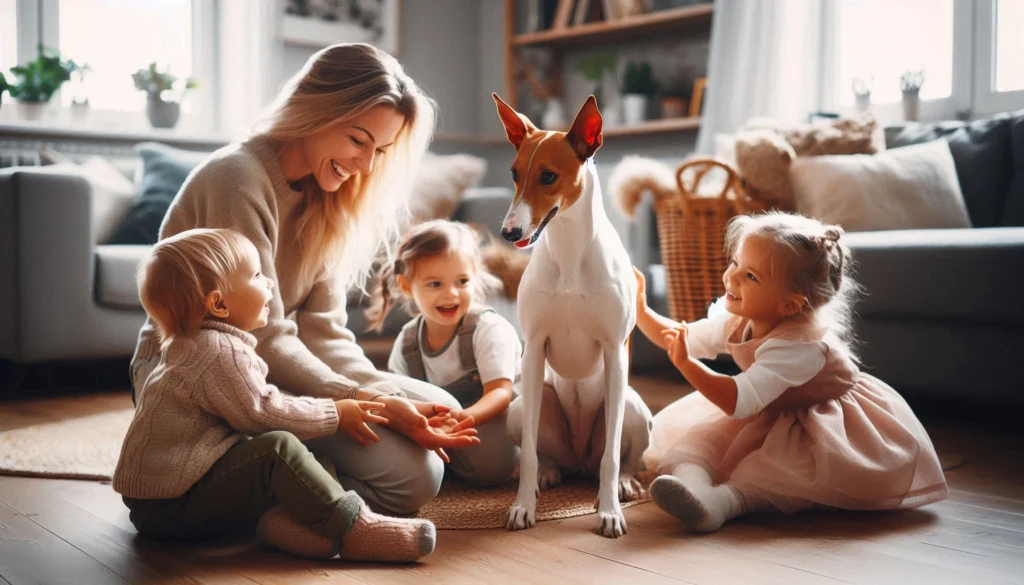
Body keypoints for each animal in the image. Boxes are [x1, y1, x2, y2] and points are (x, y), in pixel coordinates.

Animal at [493, 93, 651, 536]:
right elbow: (529, 453)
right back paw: (549, 474)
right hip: (522, 407)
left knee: (619, 456)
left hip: (633, 407)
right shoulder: (534, 350)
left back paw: (625, 484)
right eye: (514, 174)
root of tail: (579, 458)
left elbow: (612, 455)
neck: (568, 251)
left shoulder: (615, 352)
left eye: (548, 176)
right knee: (545, 453)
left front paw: (609, 511)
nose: (509, 233)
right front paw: (523, 506)